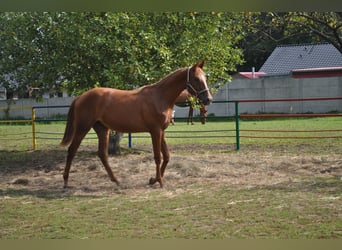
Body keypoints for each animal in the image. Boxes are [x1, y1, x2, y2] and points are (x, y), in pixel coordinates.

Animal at [60, 61, 212, 188]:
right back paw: (66, 182)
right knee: (72, 151)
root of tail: (80, 97)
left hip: (102, 129)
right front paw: (160, 182)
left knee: (102, 154)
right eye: (196, 79)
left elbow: (167, 156)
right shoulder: (155, 131)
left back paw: (117, 181)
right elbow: (158, 157)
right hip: (82, 128)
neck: (160, 96)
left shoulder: (161, 131)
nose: (208, 99)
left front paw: (154, 179)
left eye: (205, 77)